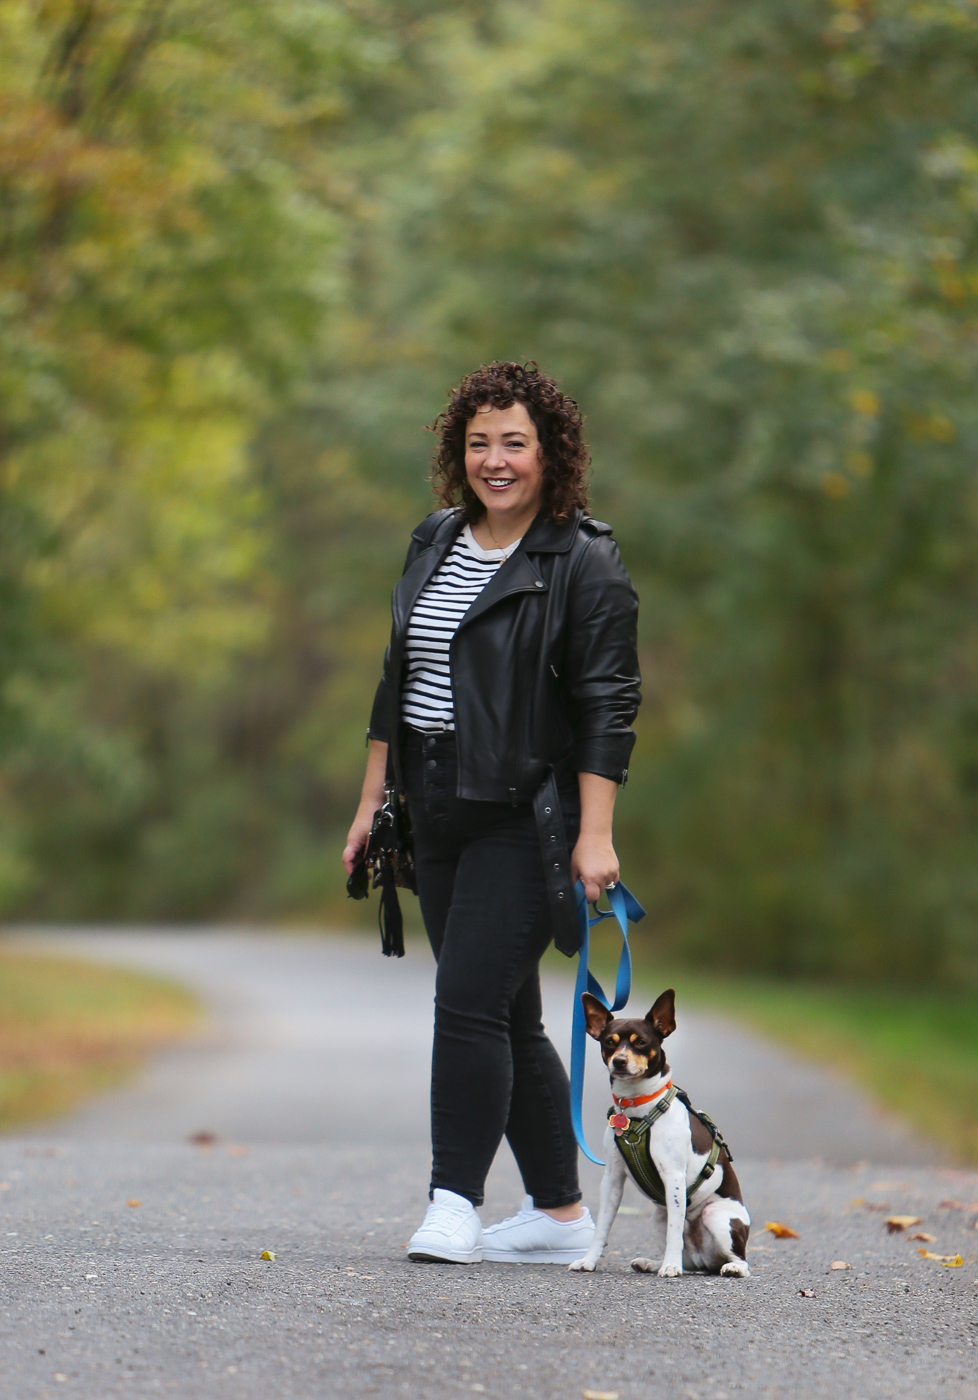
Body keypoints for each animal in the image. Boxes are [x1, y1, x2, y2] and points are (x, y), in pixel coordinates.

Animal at [565, 991, 749, 1276]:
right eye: (609, 1042)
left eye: (641, 1042)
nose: (619, 1061)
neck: (636, 1109)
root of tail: (705, 1259)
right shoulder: (612, 1179)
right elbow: (602, 1227)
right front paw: (589, 1260)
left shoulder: (673, 1177)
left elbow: (675, 1231)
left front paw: (670, 1267)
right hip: (658, 1216)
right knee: (688, 1258)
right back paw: (654, 1263)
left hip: (716, 1216)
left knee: (740, 1259)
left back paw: (729, 1268)